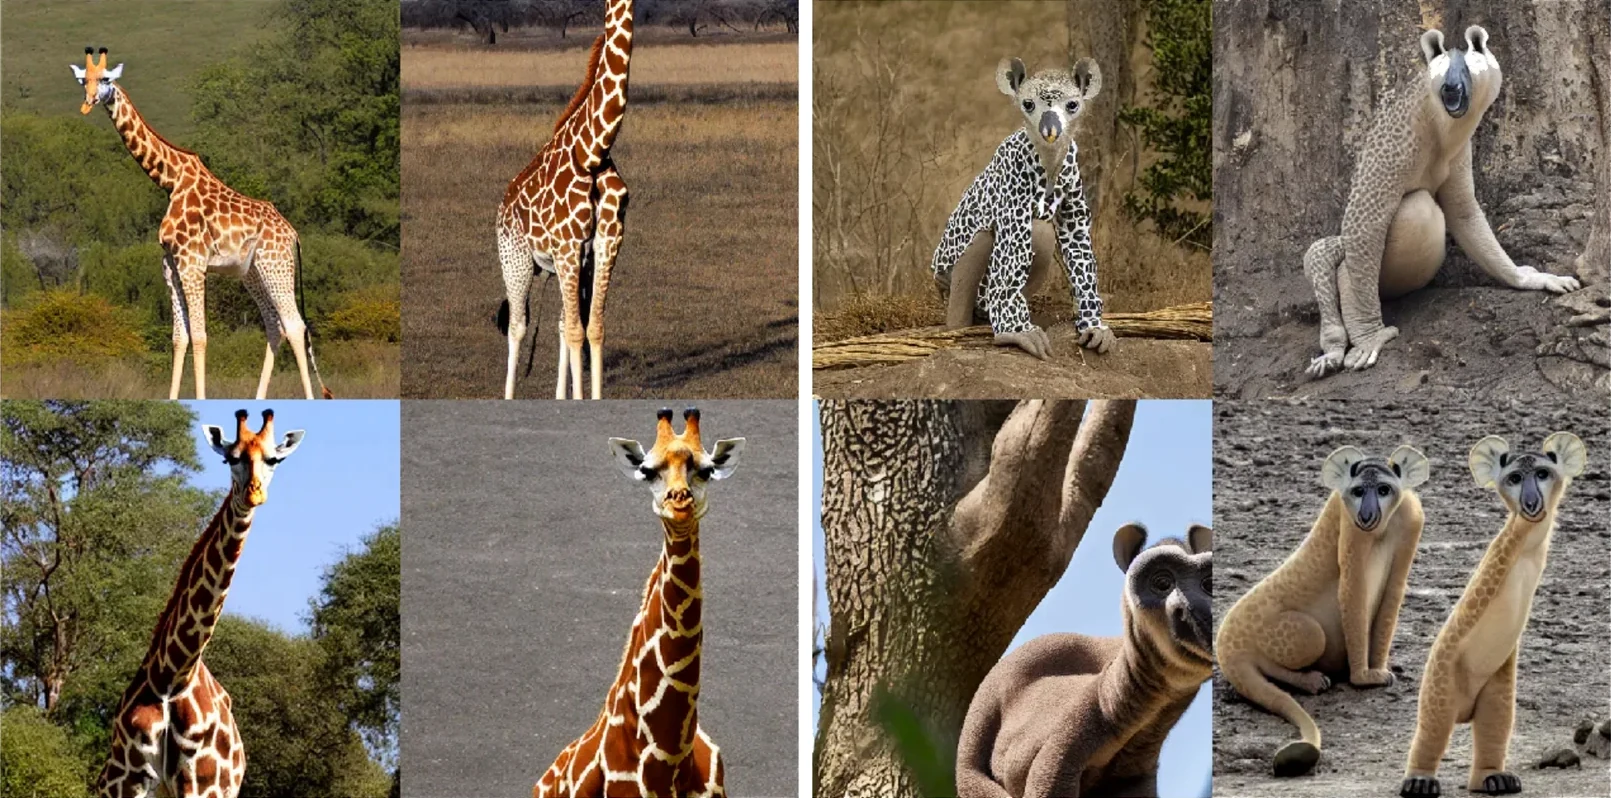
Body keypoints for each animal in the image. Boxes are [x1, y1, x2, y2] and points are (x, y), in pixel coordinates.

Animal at [71, 47, 331, 401]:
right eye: (84, 80)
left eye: (106, 79)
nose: (88, 102)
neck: (170, 180)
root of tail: (293, 234)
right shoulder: (171, 266)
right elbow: (179, 338)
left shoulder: (193, 263)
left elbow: (200, 336)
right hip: (253, 272)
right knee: (273, 325)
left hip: (276, 265)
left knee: (294, 324)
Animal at [97, 409, 307, 798]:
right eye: (231, 458)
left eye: (273, 459)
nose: (254, 494)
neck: (172, 675)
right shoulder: (126, 782)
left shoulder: (202, 784)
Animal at [496, 0, 633, 400]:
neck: (592, 150)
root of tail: (505, 200)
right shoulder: (569, 244)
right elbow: (575, 330)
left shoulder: (607, 241)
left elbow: (593, 327)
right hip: (516, 258)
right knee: (518, 325)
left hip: (558, 267)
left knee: (560, 324)